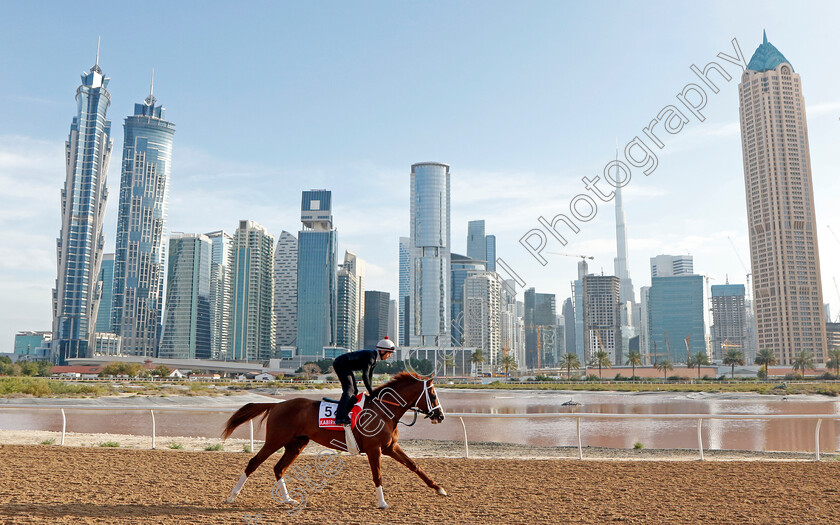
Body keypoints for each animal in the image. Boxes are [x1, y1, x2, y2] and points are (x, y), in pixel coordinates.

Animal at [221, 370, 446, 506]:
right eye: (434, 395)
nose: (441, 416)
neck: (383, 411)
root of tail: (277, 404)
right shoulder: (374, 449)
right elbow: (378, 476)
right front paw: (382, 503)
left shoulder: (390, 447)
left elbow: (414, 466)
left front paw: (439, 488)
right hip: (275, 440)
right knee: (254, 462)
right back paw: (232, 496)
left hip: (296, 444)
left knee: (279, 468)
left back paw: (288, 499)